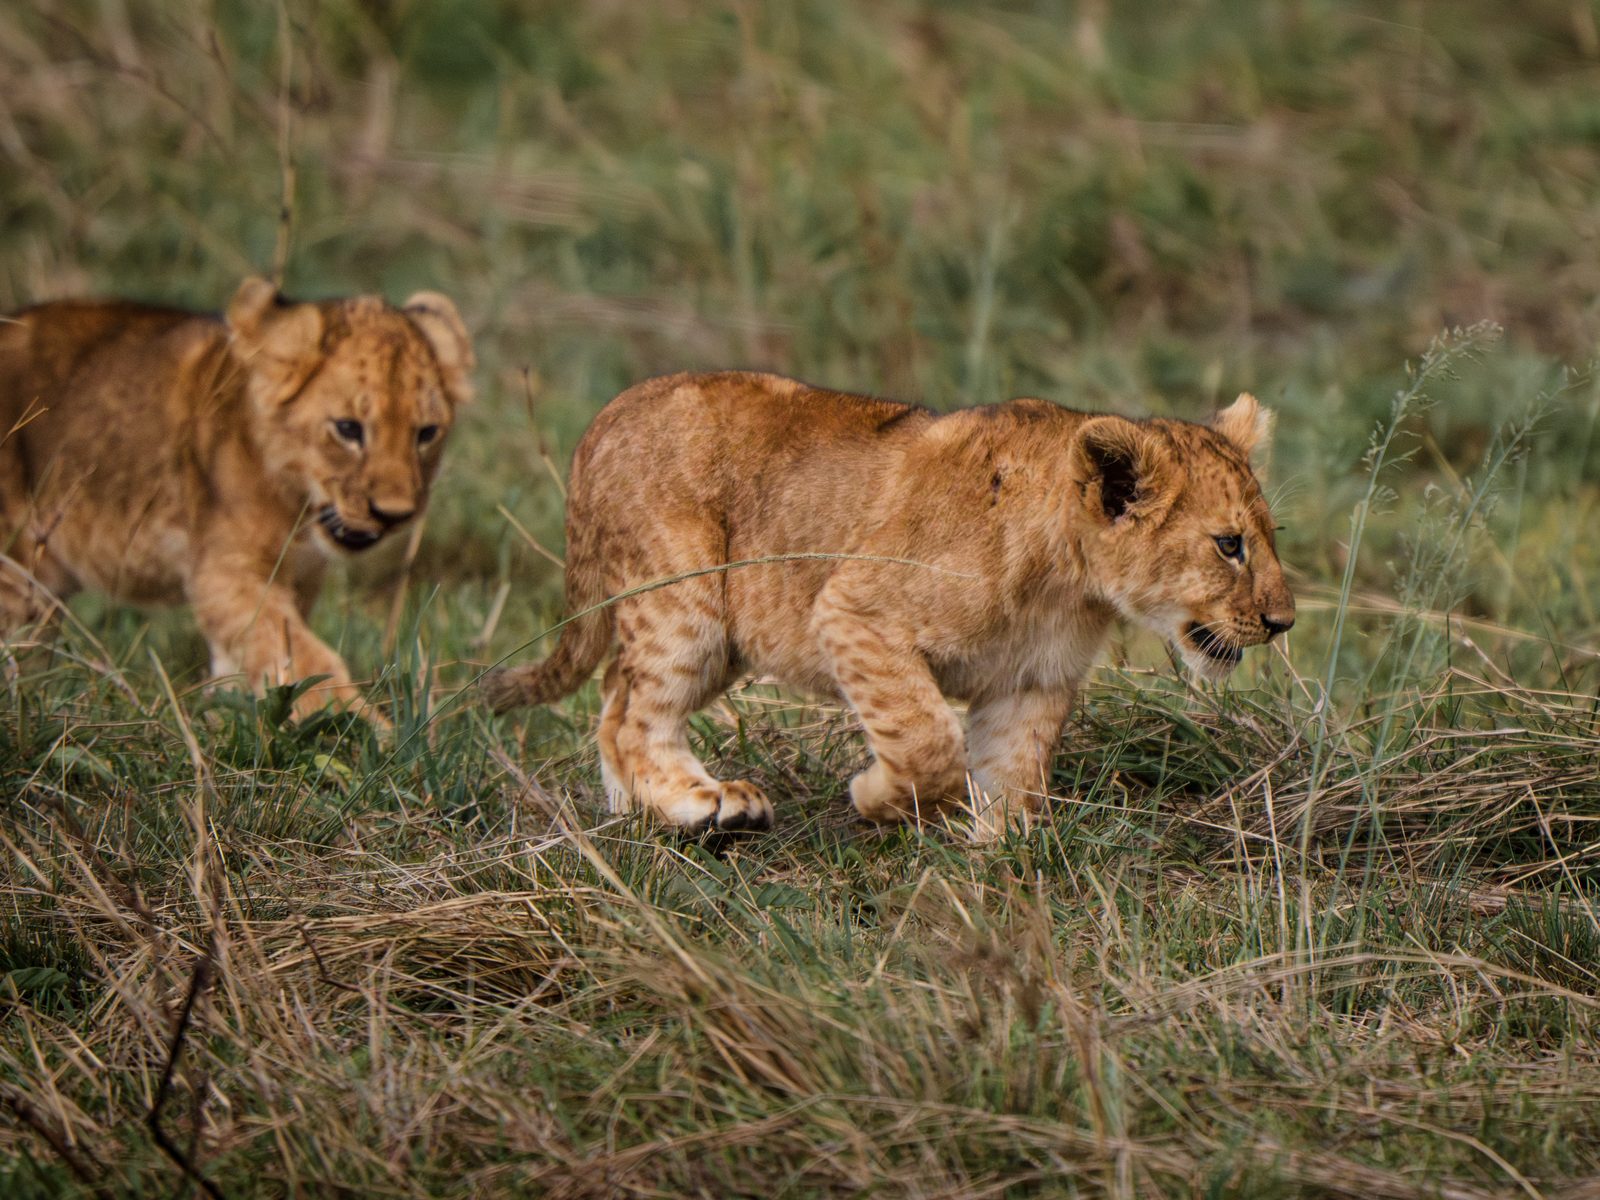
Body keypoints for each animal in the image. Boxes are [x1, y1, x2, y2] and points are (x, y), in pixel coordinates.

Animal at [0, 276, 473, 721]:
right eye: (348, 429)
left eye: (426, 433)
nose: (394, 515)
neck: (297, 509)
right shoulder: (228, 574)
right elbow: (300, 657)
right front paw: (365, 733)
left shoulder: (297, 579)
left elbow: (247, 662)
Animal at [485, 371, 1294, 838]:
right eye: (1229, 545)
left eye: (1267, 537)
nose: (1283, 622)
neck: (1068, 583)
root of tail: (603, 418)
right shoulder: (855, 614)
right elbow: (927, 741)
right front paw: (878, 797)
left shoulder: (1032, 680)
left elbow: (1015, 775)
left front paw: (995, 862)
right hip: (684, 602)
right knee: (633, 715)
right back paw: (704, 805)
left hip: (722, 635)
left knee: (612, 697)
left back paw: (638, 813)